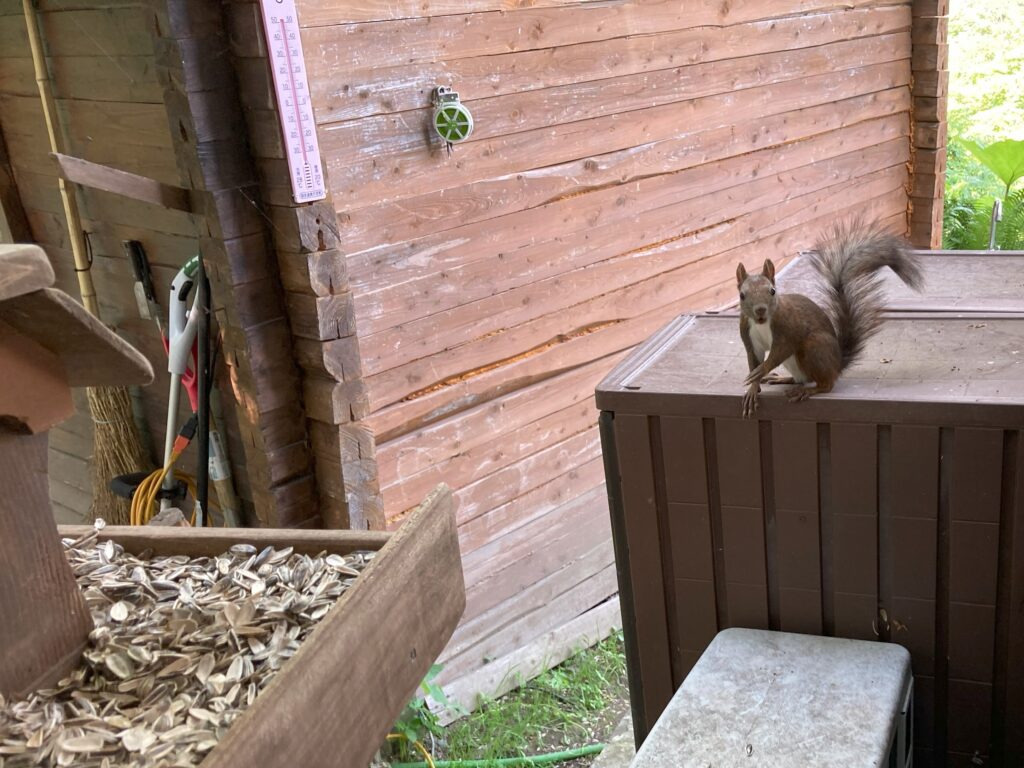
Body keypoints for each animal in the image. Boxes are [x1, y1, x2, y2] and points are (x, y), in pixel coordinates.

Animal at [737, 219, 921, 417]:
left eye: (772, 291)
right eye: (742, 295)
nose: (760, 310)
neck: (762, 324)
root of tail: (837, 364)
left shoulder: (787, 328)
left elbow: (780, 351)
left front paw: (762, 370)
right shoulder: (748, 336)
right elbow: (753, 359)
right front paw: (753, 388)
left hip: (814, 347)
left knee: (826, 384)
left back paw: (808, 390)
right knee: (802, 378)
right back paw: (785, 379)